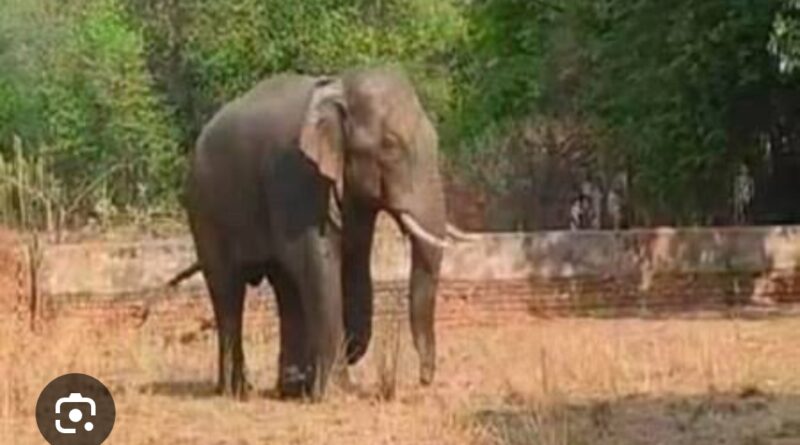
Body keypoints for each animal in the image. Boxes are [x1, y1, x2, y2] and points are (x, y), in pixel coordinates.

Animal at [174, 67, 475, 401]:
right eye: (390, 145)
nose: (424, 379)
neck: (339, 87)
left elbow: (354, 260)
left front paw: (324, 380)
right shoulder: (296, 176)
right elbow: (319, 263)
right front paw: (337, 392)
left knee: (285, 288)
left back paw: (290, 389)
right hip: (204, 210)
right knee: (227, 291)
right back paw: (236, 391)